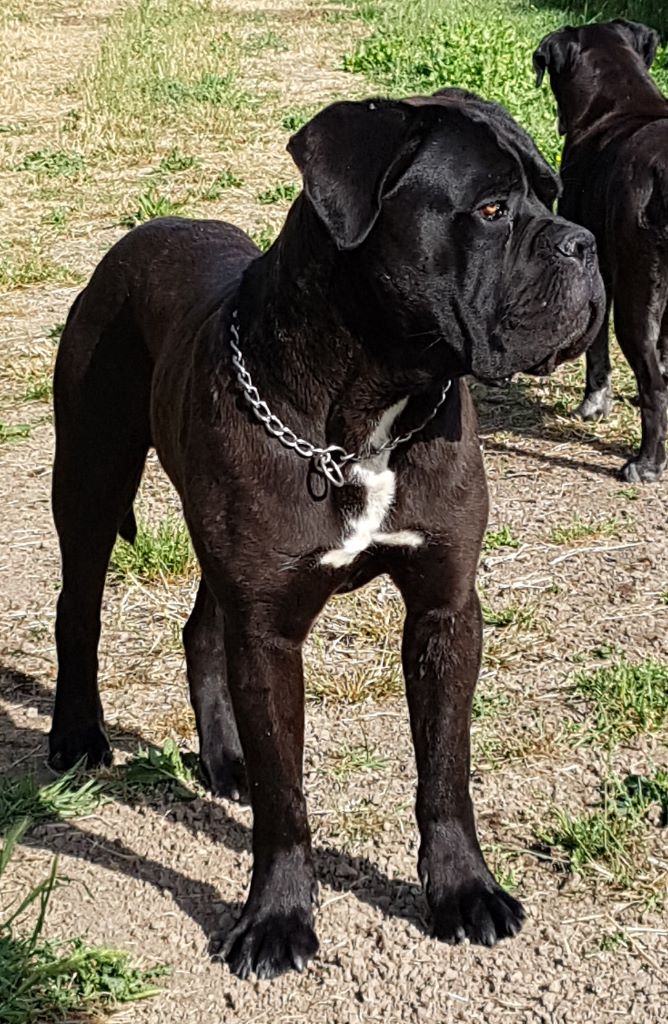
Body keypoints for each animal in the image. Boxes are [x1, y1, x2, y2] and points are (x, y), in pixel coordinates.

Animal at [49, 92, 606, 978]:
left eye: (552, 195)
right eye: (490, 210)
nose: (582, 243)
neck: (365, 418)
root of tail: (138, 237)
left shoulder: (445, 610)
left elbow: (445, 768)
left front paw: (464, 891)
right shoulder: (272, 632)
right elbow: (287, 798)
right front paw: (276, 919)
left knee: (202, 627)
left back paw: (225, 758)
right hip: (91, 473)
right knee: (80, 607)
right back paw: (76, 736)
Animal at [536, 16, 667, 479]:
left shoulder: (599, 273)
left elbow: (596, 351)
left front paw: (593, 404)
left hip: (634, 301)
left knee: (653, 386)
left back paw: (647, 463)